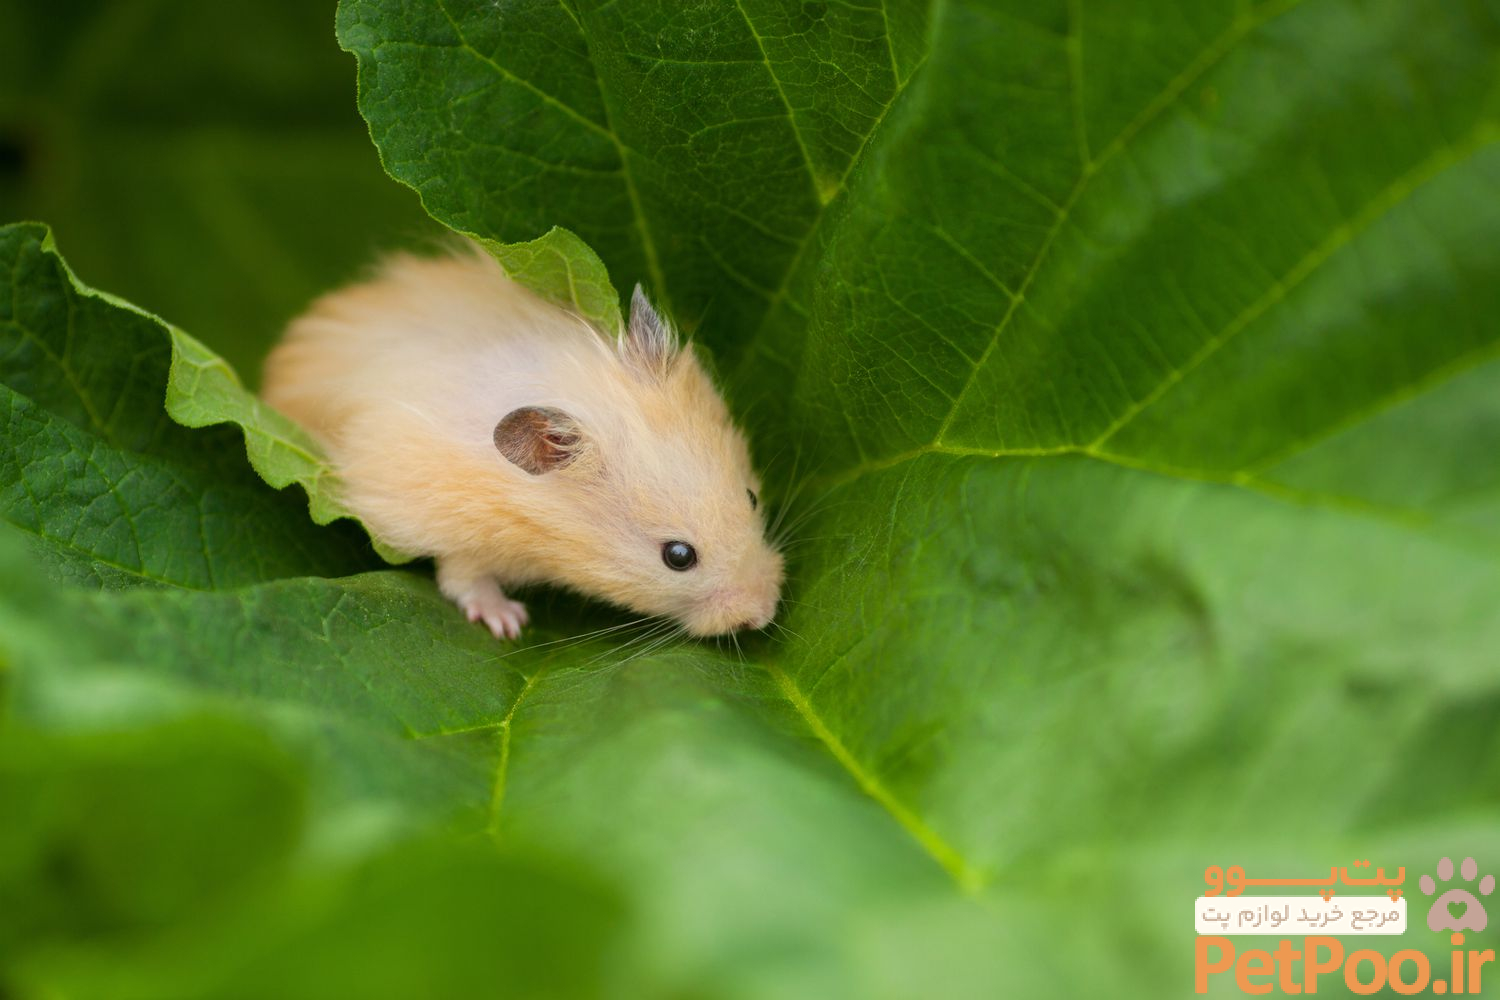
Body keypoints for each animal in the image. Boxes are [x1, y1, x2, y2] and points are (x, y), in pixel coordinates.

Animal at [261, 243, 783, 639]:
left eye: (752, 498)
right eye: (678, 557)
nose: (763, 613)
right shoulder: (451, 526)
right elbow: (462, 579)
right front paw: (509, 624)